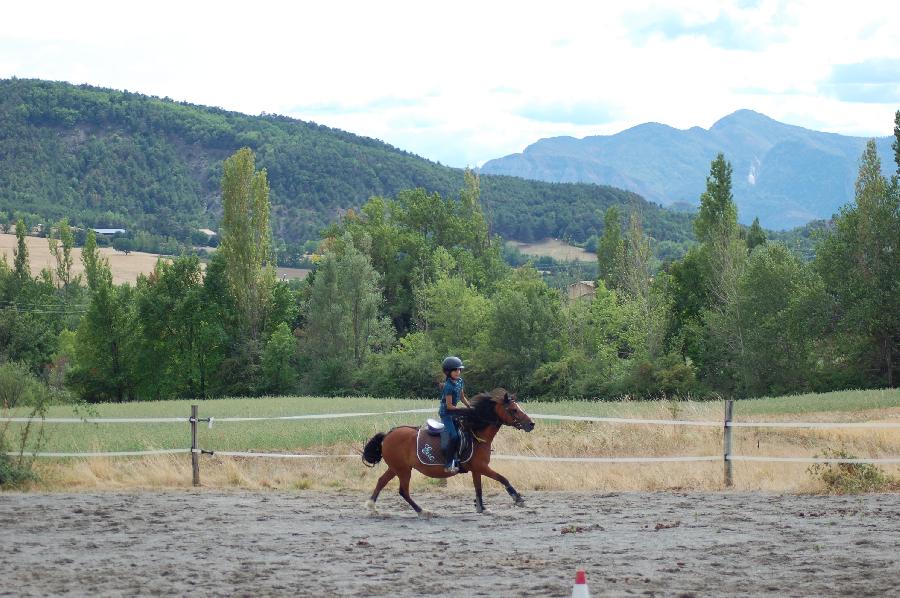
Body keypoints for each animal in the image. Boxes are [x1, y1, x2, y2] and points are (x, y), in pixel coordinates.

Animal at [360, 392, 536, 516]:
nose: (531, 424)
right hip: (403, 470)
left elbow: (478, 488)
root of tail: (388, 435)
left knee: (382, 481)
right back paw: (423, 512)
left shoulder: (476, 469)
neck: (476, 433)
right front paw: (518, 499)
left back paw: (372, 507)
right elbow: (503, 478)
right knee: (403, 491)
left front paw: (482, 508)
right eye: (513, 410)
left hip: (396, 467)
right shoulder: (482, 467)